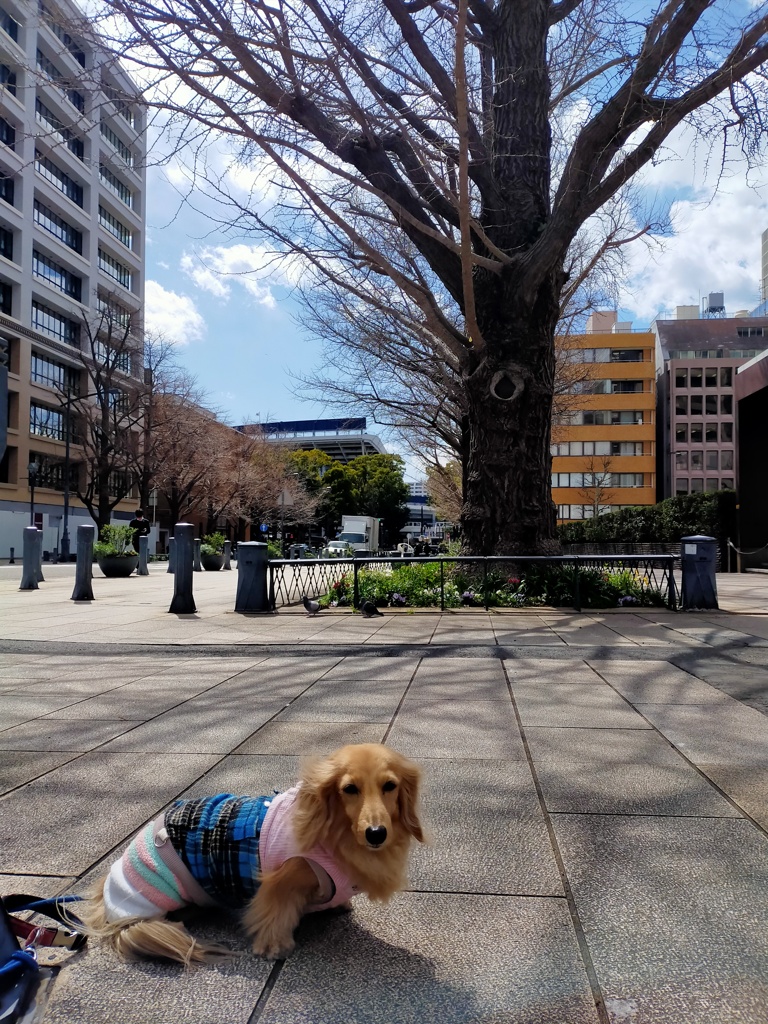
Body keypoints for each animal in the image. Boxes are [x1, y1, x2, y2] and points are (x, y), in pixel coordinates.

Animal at [74, 741, 423, 962]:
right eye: (349, 789)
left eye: (389, 786)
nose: (376, 833)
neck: (337, 836)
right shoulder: (282, 880)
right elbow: (275, 912)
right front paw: (274, 947)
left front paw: (339, 905)